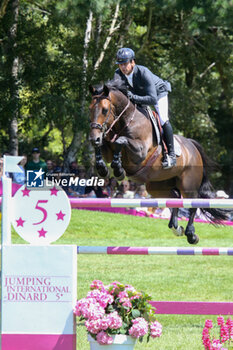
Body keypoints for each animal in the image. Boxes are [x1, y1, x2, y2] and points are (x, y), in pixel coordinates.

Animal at [88, 79, 228, 245]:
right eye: (90, 109)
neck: (127, 121)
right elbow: (104, 146)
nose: (93, 138)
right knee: (175, 198)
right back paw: (176, 227)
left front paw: (118, 170)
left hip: (188, 184)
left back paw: (191, 234)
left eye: (104, 110)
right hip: (157, 186)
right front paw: (103, 168)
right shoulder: (108, 147)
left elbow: (120, 141)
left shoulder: (140, 153)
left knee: (193, 203)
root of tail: (193, 146)